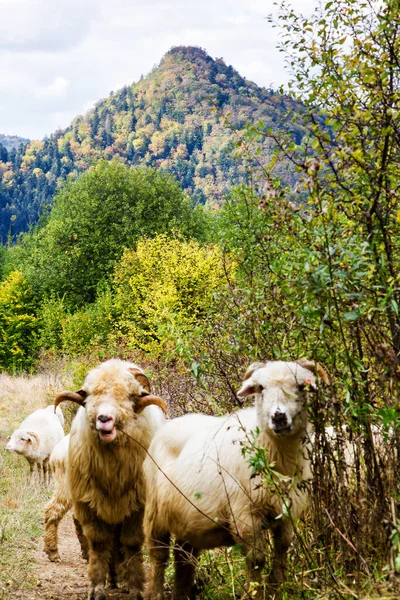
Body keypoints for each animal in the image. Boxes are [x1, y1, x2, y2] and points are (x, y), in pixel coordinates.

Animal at [54, 358, 166, 600]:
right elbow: (99, 544)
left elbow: (131, 544)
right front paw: (97, 587)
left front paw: (135, 587)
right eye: (88, 395)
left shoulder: (138, 507)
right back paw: (114, 579)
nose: (104, 419)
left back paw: (122, 581)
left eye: (131, 396)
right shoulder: (89, 506)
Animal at [144, 358, 328, 596]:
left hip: (186, 519)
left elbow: (282, 550)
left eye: (300, 386)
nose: (278, 417)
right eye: (260, 388)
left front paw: (279, 588)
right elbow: (256, 560)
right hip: (154, 514)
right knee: (158, 556)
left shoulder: (287, 512)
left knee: (183, 558)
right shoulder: (244, 516)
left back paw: (181, 593)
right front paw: (254, 593)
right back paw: (155, 592)